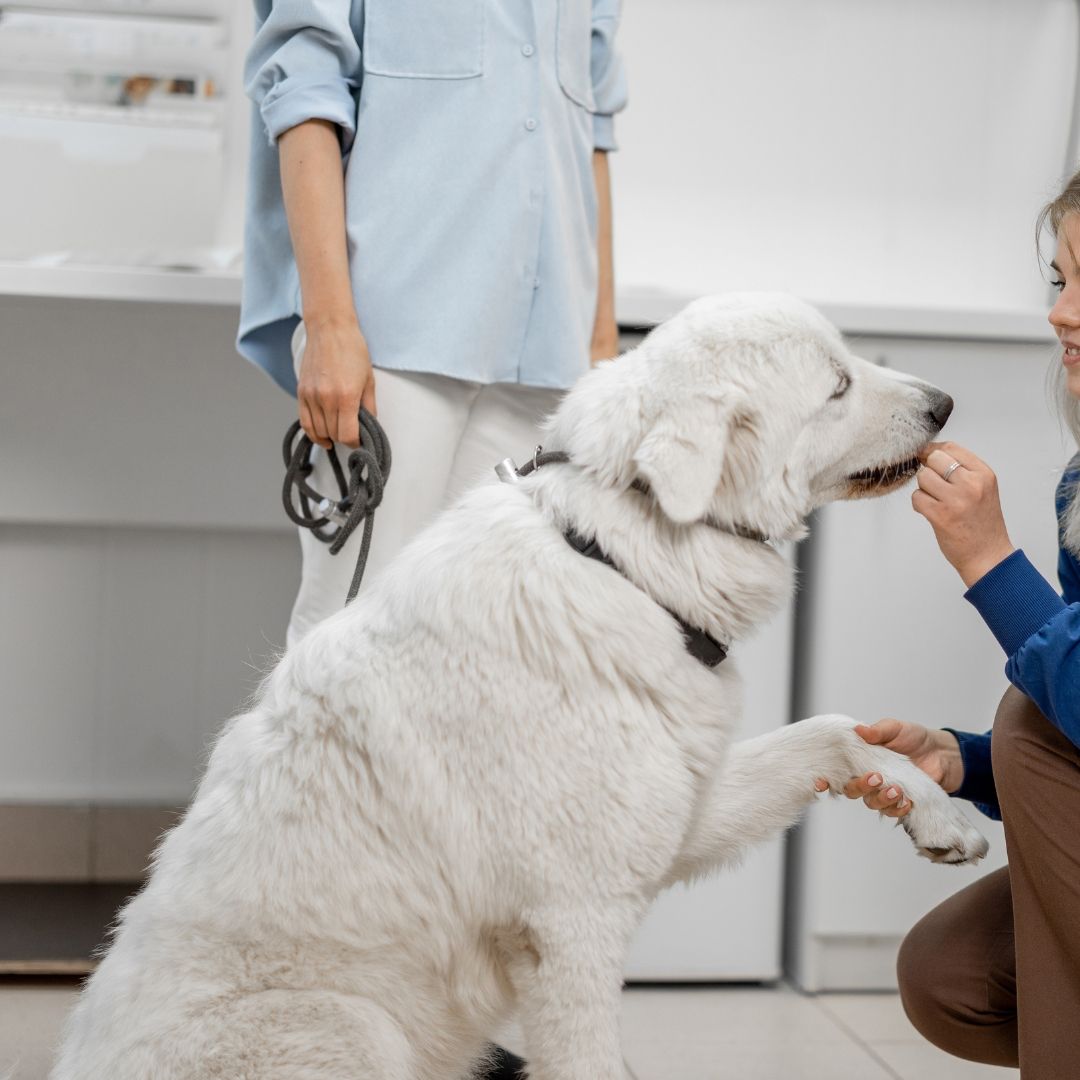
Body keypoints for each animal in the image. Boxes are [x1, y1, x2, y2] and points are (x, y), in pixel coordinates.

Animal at [50, 293, 989, 1080]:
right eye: (837, 385)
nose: (947, 401)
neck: (615, 561)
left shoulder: (675, 821)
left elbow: (832, 727)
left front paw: (934, 811)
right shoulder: (574, 929)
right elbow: (592, 1065)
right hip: (353, 1028)